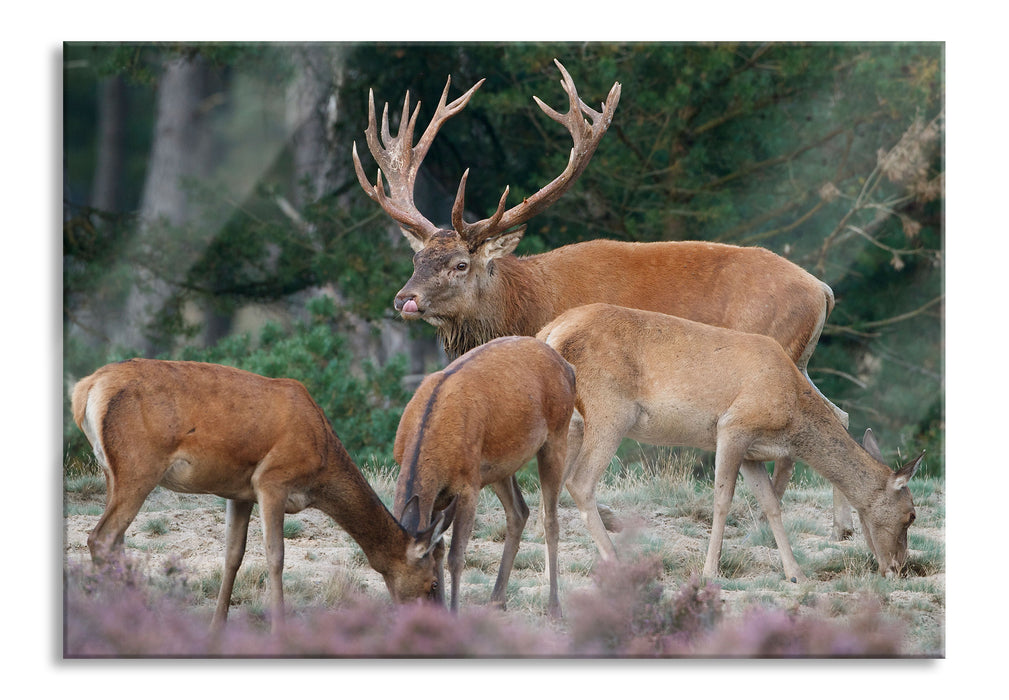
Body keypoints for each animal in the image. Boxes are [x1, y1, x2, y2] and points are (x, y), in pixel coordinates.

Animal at [73, 359, 460, 633]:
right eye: (432, 582)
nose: (428, 624)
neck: (321, 463)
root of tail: (85, 390)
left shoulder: (239, 492)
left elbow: (233, 556)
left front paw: (216, 627)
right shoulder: (271, 480)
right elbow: (276, 557)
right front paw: (279, 629)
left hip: (111, 471)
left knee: (117, 541)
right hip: (138, 466)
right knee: (101, 537)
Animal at [351, 57, 855, 540]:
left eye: (460, 264)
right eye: (418, 257)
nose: (405, 299)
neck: (525, 306)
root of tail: (823, 290)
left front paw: (607, 520)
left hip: (774, 350)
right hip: (799, 357)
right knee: (839, 412)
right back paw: (842, 523)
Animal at [391, 336, 573, 617]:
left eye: (428, 583)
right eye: (389, 583)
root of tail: (568, 368)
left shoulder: (468, 485)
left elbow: (456, 556)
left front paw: (454, 612)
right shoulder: (439, 498)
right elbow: (438, 549)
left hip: (556, 436)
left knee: (550, 520)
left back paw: (554, 607)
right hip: (499, 466)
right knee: (519, 512)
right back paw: (497, 600)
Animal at [536, 304, 924, 585]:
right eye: (911, 514)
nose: (898, 568)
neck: (791, 416)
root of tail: (550, 331)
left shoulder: (753, 452)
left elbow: (771, 504)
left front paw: (796, 574)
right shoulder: (733, 426)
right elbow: (722, 500)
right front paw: (710, 571)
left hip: (574, 423)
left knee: (551, 488)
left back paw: (549, 569)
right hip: (609, 410)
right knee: (580, 482)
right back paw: (617, 561)